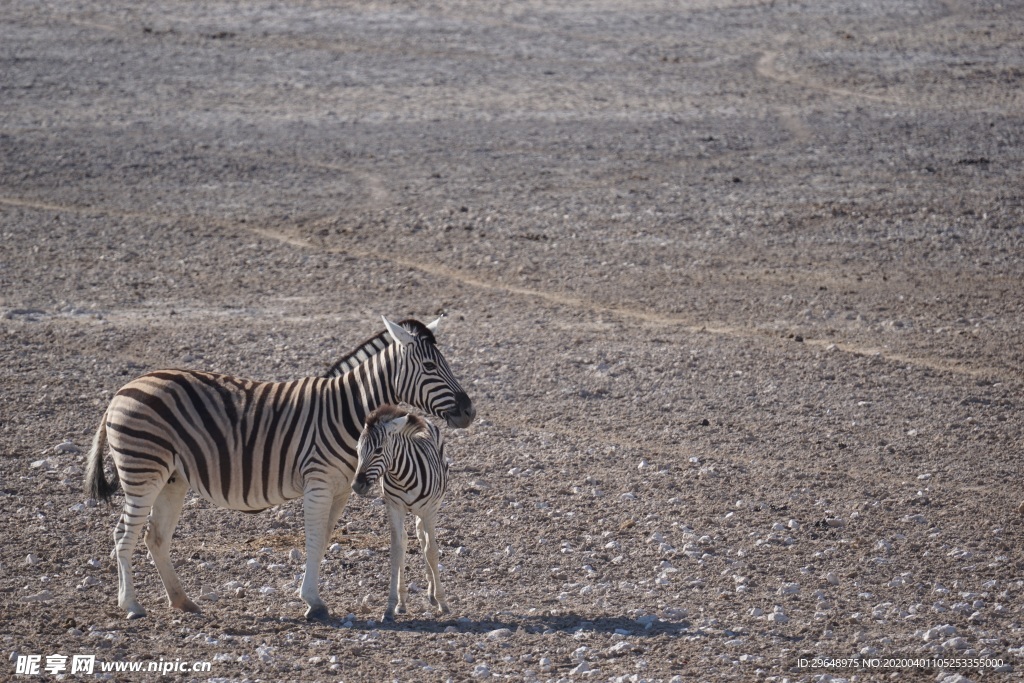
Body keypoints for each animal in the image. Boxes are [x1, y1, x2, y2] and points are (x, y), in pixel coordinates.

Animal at [352, 405, 448, 626]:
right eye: (357, 450)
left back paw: (432, 593)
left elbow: (432, 551)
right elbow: (397, 551)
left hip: (431, 507)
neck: (402, 477)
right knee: (408, 540)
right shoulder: (394, 507)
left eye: (378, 450)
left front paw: (442, 601)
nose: (357, 485)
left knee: (424, 541)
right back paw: (403, 601)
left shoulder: (429, 511)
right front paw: (391, 606)